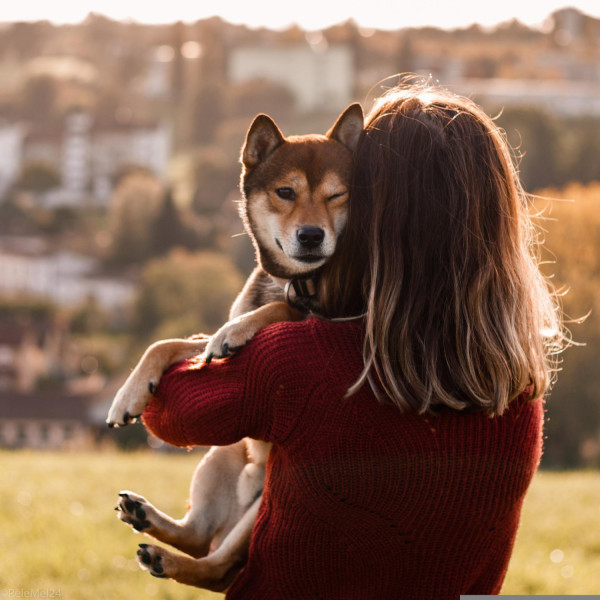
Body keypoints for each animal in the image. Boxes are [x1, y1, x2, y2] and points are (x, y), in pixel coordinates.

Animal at [105, 103, 364, 592]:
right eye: (285, 192)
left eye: (338, 195)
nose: (311, 235)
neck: (294, 281)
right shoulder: (200, 344)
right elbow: (167, 343)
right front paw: (129, 394)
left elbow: (280, 312)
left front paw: (241, 330)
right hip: (221, 455)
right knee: (198, 535)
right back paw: (147, 518)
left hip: (267, 498)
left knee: (216, 564)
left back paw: (168, 559)